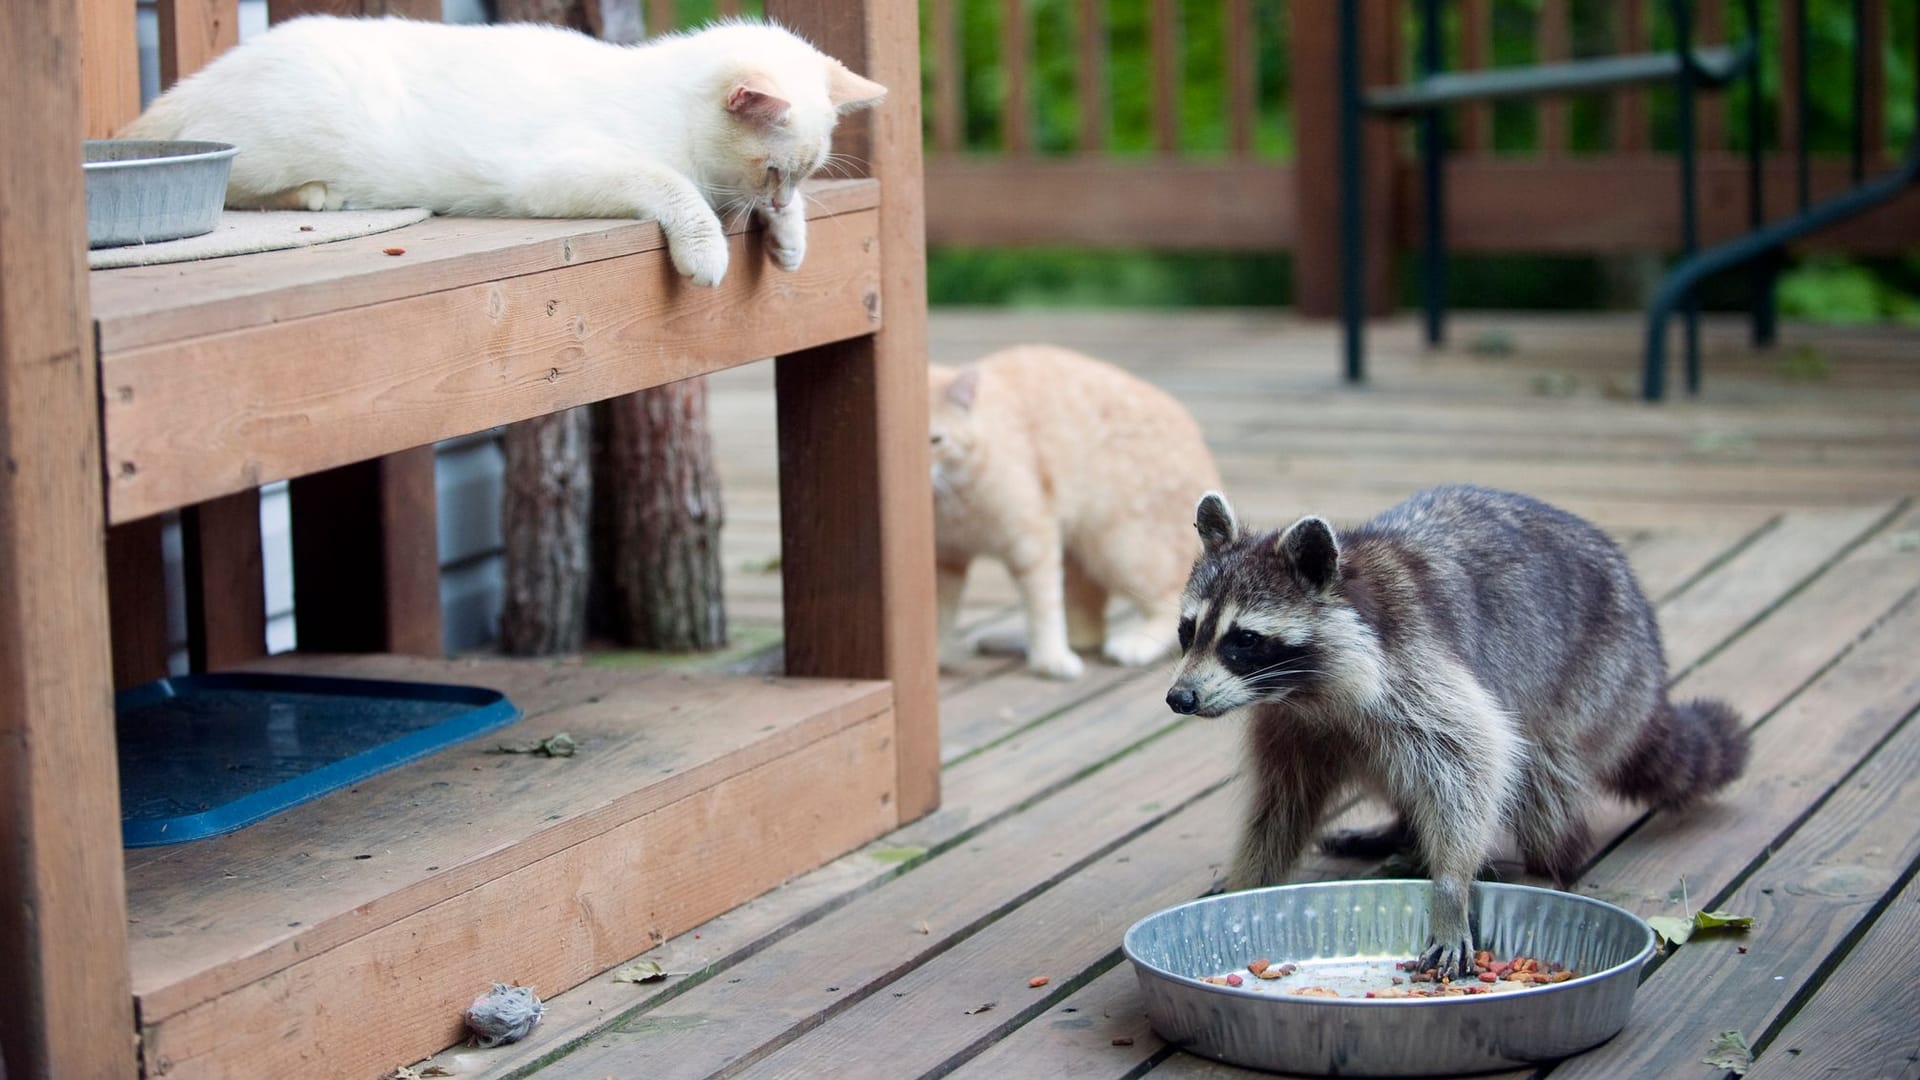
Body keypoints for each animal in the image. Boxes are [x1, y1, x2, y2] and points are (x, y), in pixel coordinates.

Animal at [123, 16, 887, 284]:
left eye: (800, 175)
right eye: (773, 169)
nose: (780, 195)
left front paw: (790, 233)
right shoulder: (560, 175)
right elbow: (675, 188)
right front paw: (709, 251)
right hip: (286, 139)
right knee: (234, 181)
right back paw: (315, 195)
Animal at [925, 340, 1221, 676]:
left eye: (935, 440)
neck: (951, 500)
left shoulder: (1034, 542)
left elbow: (1043, 607)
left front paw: (1051, 660)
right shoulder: (946, 559)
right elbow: (941, 612)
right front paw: (938, 656)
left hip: (1121, 548)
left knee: (1168, 602)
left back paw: (1133, 645)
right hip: (1080, 558)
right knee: (1087, 629)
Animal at [1159, 484, 1751, 972]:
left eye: (1243, 640)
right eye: (1189, 630)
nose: (1180, 698)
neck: (1306, 691)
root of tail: (1652, 672)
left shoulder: (1413, 666)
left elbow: (1473, 757)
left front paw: (1449, 887)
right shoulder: (1290, 723)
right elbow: (1281, 803)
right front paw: (1250, 879)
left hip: (1598, 676)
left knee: (1539, 768)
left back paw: (1549, 861)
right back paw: (1400, 830)